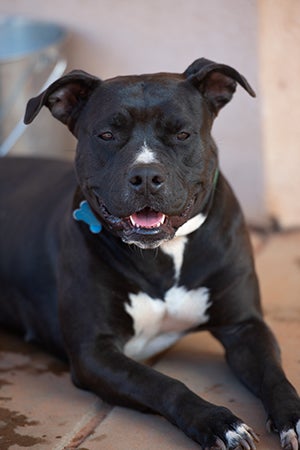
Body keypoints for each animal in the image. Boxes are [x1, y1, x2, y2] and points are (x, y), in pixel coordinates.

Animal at [0, 58, 298, 448]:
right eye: (107, 135)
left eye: (182, 134)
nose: (144, 176)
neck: (164, 253)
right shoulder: (94, 353)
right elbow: (163, 384)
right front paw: (218, 422)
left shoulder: (244, 326)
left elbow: (274, 374)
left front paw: (292, 416)